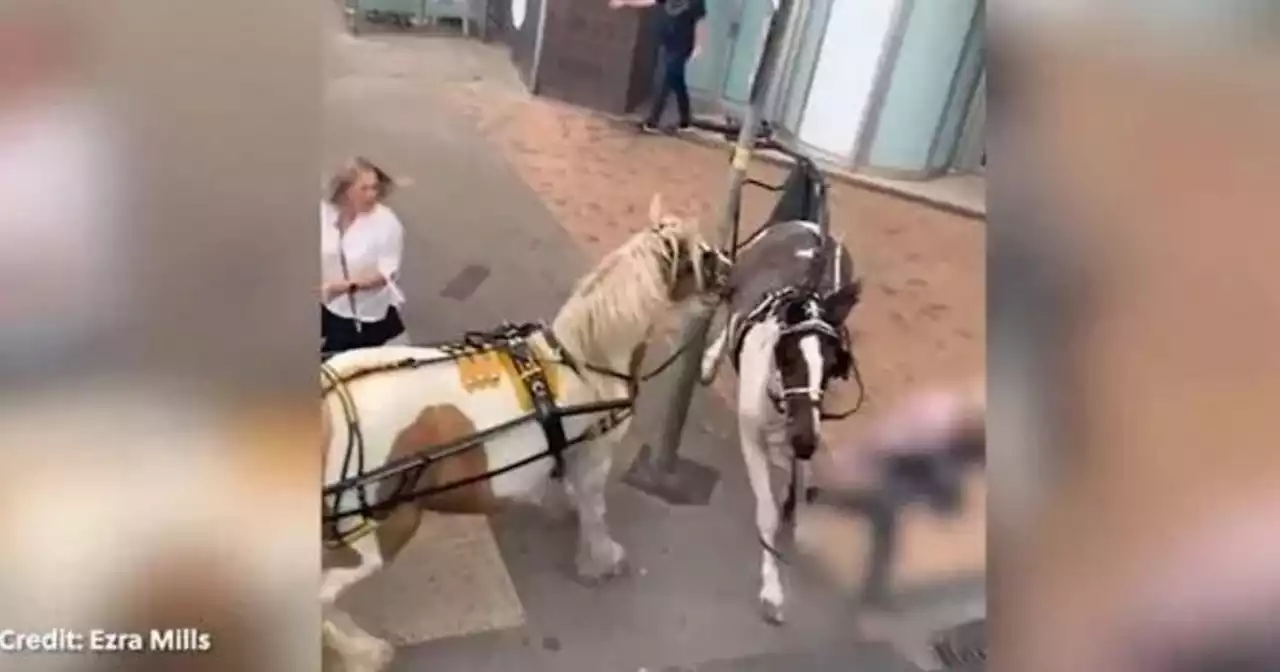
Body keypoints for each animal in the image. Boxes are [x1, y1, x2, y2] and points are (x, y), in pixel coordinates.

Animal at [317, 194, 732, 670]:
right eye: (702, 255)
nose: (732, 270)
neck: (584, 361)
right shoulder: (597, 453)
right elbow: (595, 509)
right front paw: (601, 558)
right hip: (380, 532)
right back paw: (364, 648)